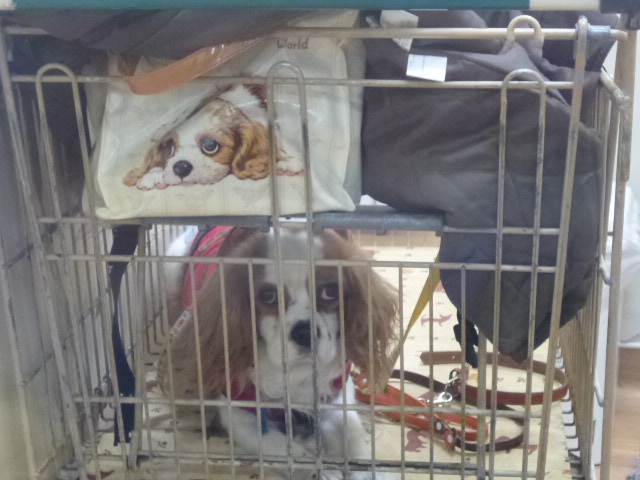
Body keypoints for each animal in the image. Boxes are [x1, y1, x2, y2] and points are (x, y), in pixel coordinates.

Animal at [158, 226, 398, 479]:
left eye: (330, 291)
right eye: (268, 296)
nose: (304, 332)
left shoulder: (336, 396)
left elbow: (353, 436)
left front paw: (368, 472)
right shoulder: (240, 415)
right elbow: (286, 449)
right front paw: (319, 471)